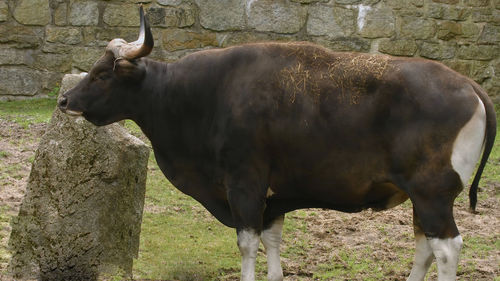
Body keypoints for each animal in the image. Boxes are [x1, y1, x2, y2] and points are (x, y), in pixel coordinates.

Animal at [58, 7, 496, 280]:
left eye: (101, 74)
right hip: (423, 199)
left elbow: (246, 245)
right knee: (425, 246)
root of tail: (470, 86)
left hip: (433, 193)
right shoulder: (273, 199)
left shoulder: (244, 186)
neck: (199, 95)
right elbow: (272, 244)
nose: (64, 101)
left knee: (447, 248)